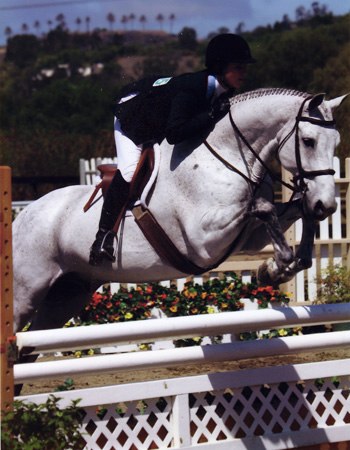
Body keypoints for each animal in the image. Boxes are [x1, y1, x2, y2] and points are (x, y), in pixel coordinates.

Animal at [12, 89, 346, 334]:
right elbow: (262, 208)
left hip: (67, 294)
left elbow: (289, 217)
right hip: (26, 293)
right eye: (308, 141)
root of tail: (20, 219)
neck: (228, 155)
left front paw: (275, 267)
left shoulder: (246, 238)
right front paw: (277, 267)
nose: (326, 205)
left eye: (336, 143)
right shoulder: (204, 239)